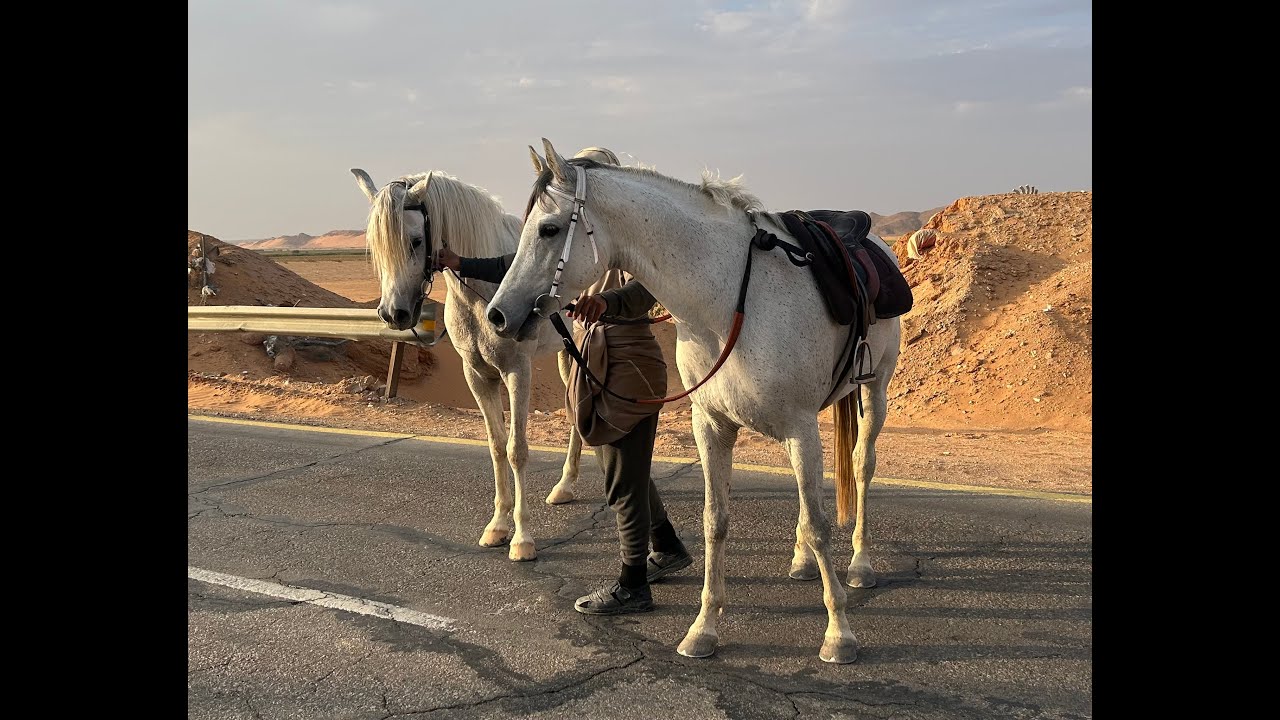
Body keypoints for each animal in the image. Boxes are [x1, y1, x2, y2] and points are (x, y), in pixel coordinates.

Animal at [351, 167, 585, 562]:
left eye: (416, 240)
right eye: (377, 246)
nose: (394, 313)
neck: (485, 295)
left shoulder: (517, 372)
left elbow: (517, 450)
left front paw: (523, 538)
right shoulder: (477, 375)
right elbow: (496, 445)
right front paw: (499, 526)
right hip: (566, 352)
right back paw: (566, 485)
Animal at [487, 140, 902, 663]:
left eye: (548, 228)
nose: (498, 315)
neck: (726, 304)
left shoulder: (800, 426)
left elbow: (822, 523)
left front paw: (839, 633)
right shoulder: (712, 424)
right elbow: (716, 521)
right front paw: (704, 628)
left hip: (874, 389)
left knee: (862, 466)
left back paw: (861, 564)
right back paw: (801, 559)